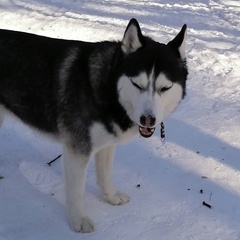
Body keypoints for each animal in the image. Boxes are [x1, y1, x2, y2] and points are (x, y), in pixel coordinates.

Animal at [0, 19, 188, 232]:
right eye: (137, 84)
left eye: (165, 88)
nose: (148, 119)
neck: (107, 88)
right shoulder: (77, 149)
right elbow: (76, 191)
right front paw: (78, 220)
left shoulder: (107, 142)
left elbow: (105, 174)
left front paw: (110, 197)